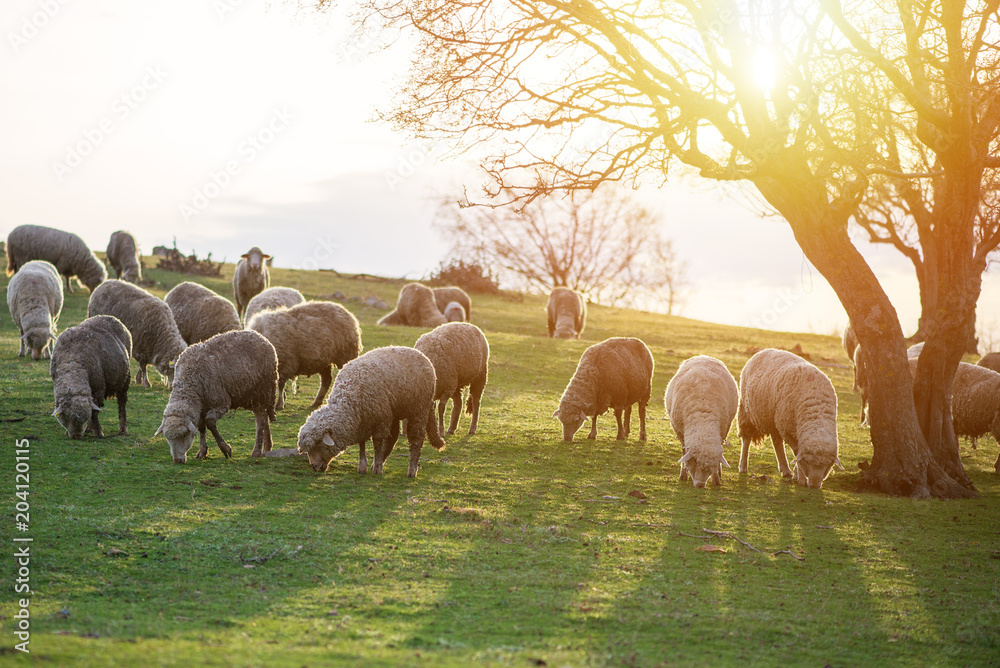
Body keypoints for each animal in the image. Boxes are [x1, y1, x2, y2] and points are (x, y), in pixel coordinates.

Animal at [154, 330, 278, 464]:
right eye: (167, 438)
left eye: (184, 435)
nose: (177, 460)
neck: (190, 383)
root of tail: (259, 336)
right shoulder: (201, 408)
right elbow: (201, 427)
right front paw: (202, 452)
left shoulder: (221, 403)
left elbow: (210, 423)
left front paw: (225, 449)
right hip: (250, 395)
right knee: (264, 417)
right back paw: (267, 447)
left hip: (261, 390)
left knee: (260, 419)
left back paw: (256, 451)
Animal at [296, 346, 446, 477]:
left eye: (317, 445)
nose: (314, 467)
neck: (349, 398)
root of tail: (423, 356)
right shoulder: (363, 422)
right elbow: (362, 444)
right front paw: (363, 466)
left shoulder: (381, 419)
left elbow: (377, 443)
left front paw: (377, 468)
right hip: (394, 410)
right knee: (393, 437)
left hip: (419, 408)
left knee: (416, 439)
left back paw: (411, 470)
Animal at [664, 355, 738, 488]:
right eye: (694, 461)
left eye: (710, 468)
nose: (700, 485)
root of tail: (703, 356)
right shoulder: (680, 433)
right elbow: (684, 453)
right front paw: (683, 474)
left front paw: (716, 478)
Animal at [737, 348, 842, 489]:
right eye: (808, 462)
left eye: (828, 464)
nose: (814, 486)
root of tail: (764, 350)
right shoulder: (789, 431)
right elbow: (797, 454)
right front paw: (801, 478)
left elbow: (796, 455)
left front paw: (797, 475)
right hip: (747, 412)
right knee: (746, 439)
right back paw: (743, 466)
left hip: (774, 420)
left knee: (776, 442)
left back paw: (785, 470)